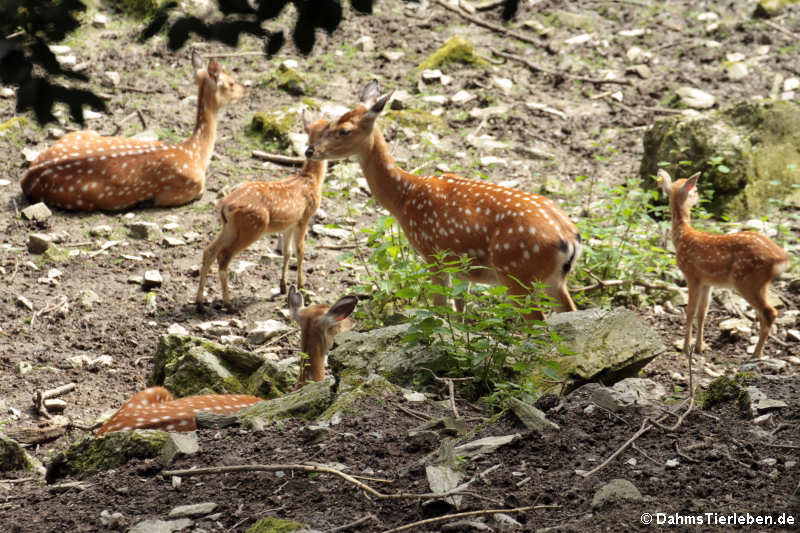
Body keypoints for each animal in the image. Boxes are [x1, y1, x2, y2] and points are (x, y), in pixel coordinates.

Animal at [22, 53, 247, 211]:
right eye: (231, 82)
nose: (246, 90)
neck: (194, 153)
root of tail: (26, 179)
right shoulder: (182, 190)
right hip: (79, 199)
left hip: (83, 133)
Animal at [197, 114, 332, 310]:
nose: (311, 151)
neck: (311, 180)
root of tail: (224, 206)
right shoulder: (304, 217)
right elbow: (300, 250)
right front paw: (302, 284)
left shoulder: (289, 224)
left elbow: (287, 252)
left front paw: (283, 286)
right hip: (252, 227)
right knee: (223, 256)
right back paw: (228, 303)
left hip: (230, 228)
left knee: (209, 251)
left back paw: (199, 303)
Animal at [306, 81, 580, 318]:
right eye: (331, 122)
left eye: (344, 130)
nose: (310, 151)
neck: (404, 198)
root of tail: (569, 239)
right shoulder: (460, 266)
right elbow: (459, 311)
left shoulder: (432, 253)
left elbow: (439, 307)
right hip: (553, 280)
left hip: (516, 274)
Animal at [660, 168, 792, 358]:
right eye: (696, 191)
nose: (699, 196)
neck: (683, 237)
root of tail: (782, 258)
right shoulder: (707, 281)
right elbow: (702, 313)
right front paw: (699, 347)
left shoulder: (691, 274)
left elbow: (690, 310)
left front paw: (685, 349)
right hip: (761, 284)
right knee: (764, 313)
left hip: (747, 280)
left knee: (769, 312)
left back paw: (756, 355)